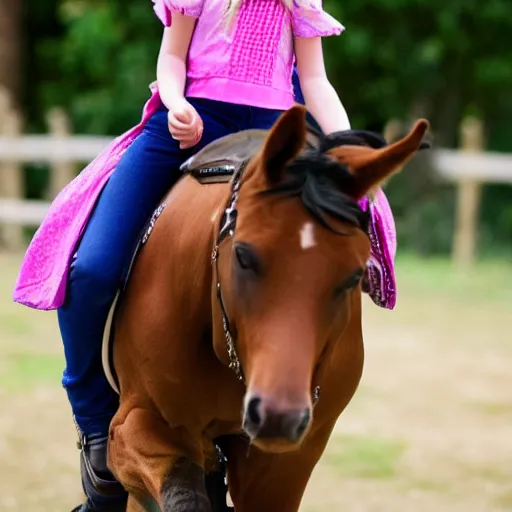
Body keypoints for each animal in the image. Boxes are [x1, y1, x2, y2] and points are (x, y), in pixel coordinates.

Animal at [106, 106, 430, 510]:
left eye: (354, 276)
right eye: (244, 256)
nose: (278, 415)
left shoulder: (285, 463)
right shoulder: (131, 430)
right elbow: (181, 490)